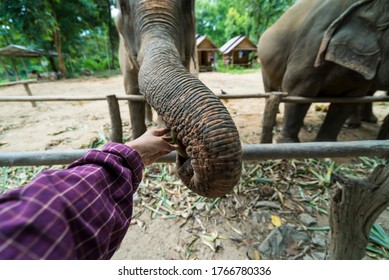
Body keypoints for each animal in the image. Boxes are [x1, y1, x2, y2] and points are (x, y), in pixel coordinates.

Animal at [258, 0, 388, 143]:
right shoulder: (312, 45)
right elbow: (297, 90)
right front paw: (287, 144)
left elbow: (348, 101)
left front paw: (325, 143)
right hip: (264, 64)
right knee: (270, 88)